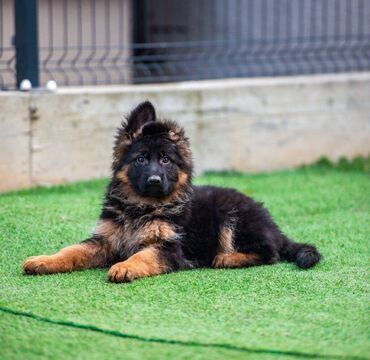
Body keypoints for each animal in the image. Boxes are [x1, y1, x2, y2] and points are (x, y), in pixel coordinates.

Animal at [23, 100, 320, 282]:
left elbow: (143, 254)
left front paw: (125, 266)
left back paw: (227, 258)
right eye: (141, 158)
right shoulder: (104, 240)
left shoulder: (169, 247)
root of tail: (274, 227)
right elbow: (71, 251)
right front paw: (44, 260)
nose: (155, 180)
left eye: (166, 160)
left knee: (270, 252)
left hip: (231, 216)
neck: (141, 207)